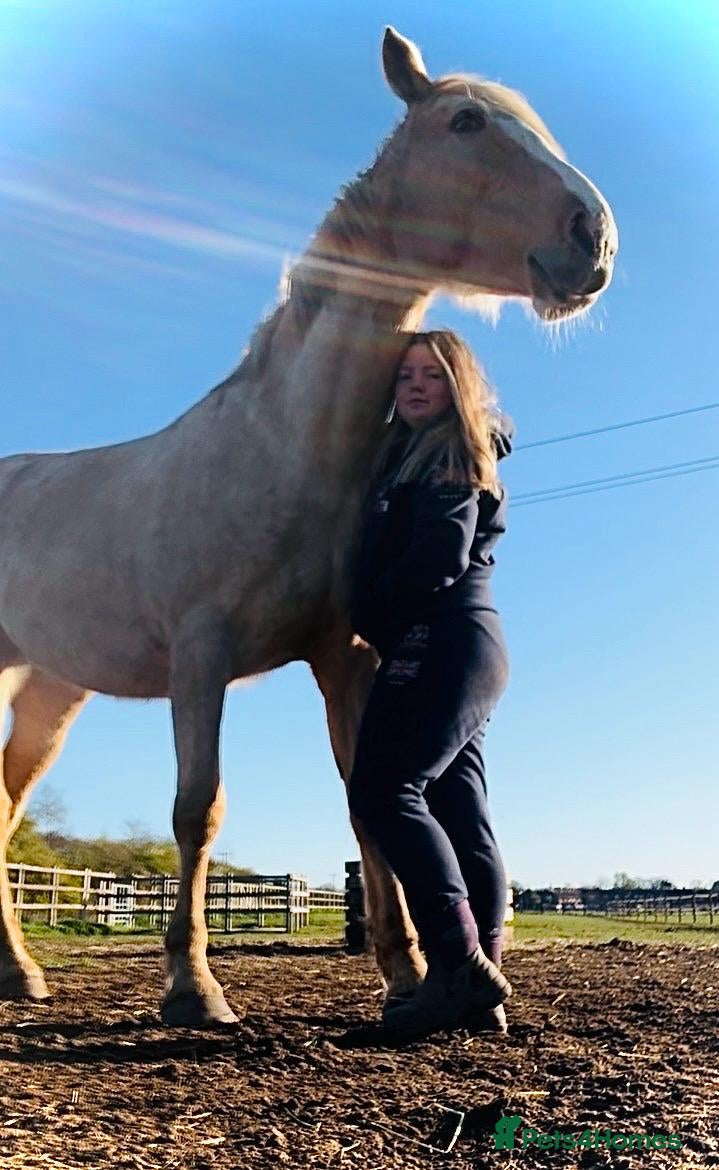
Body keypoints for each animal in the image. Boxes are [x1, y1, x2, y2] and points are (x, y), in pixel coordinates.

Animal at [0, 27, 617, 1025]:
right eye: (467, 122)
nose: (591, 239)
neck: (281, 448)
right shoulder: (200, 659)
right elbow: (198, 809)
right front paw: (193, 987)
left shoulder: (342, 655)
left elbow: (367, 804)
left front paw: (407, 975)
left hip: (51, 691)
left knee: (4, 802)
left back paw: (18, 970)